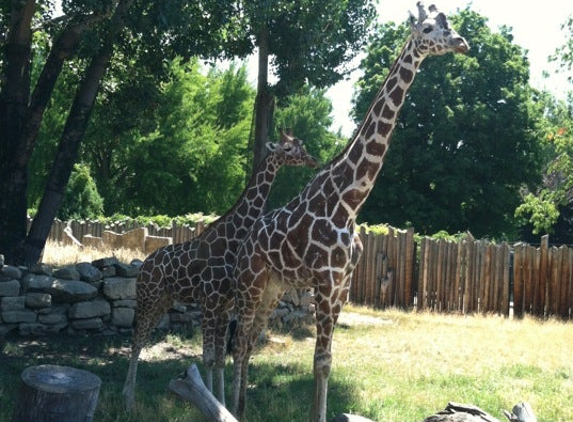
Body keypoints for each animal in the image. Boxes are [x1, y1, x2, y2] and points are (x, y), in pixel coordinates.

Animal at [122, 130, 318, 410]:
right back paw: (128, 399)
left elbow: (219, 359)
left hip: (163, 300)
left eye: (301, 144)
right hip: (147, 296)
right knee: (137, 338)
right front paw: (207, 400)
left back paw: (129, 395)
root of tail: (143, 266)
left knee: (142, 337)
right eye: (288, 148)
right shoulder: (209, 302)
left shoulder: (225, 305)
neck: (232, 239)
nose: (312, 160)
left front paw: (221, 403)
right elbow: (207, 358)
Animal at [230, 4, 466, 422]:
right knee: (239, 340)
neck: (349, 200)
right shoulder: (325, 282)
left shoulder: (343, 284)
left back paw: (240, 407)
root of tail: (245, 243)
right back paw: (229, 405)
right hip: (250, 282)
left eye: (449, 24)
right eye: (427, 29)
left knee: (250, 340)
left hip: (273, 288)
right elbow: (319, 358)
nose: (462, 43)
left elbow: (326, 361)